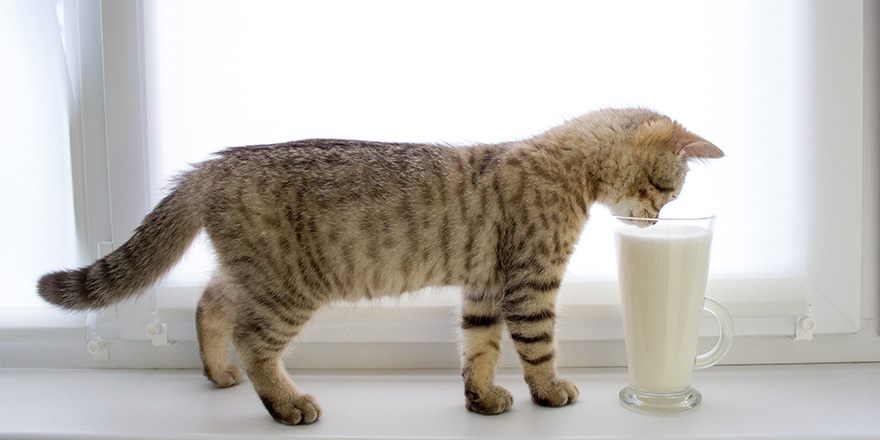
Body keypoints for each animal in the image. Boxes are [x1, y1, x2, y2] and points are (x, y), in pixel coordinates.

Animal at [37, 106, 720, 422]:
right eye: (668, 191)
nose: (656, 223)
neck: (565, 165)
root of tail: (214, 165)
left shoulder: (483, 288)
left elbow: (478, 349)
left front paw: (480, 398)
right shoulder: (530, 284)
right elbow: (538, 348)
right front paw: (549, 391)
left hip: (254, 274)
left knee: (210, 303)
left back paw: (217, 372)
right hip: (288, 288)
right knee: (254, 341)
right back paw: (286, 404)